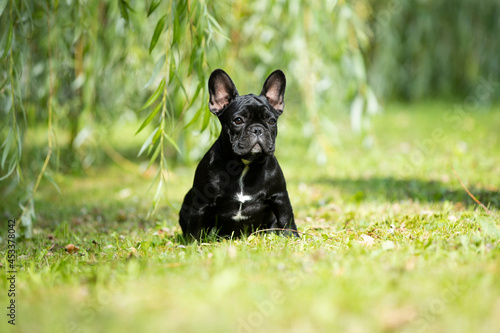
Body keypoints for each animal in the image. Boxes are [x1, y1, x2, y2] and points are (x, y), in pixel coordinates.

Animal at [179, 68, 298, 239]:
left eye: (272, 121)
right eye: (238, 120)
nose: (257, 129)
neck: (244, 164)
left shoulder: (279, 196)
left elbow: (286, 219)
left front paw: (293, 238)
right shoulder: (201, 201)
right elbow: (195, 225)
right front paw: (193, 243)